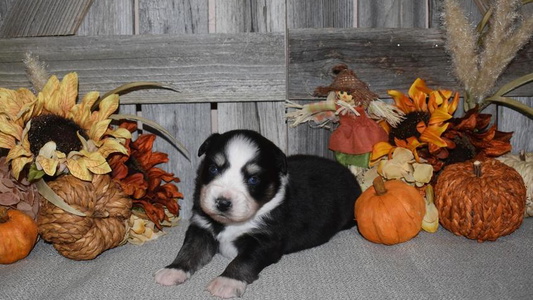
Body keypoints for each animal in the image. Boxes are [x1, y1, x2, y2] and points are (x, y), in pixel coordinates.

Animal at [154, 130, 362, 298]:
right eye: (213, 168)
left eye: (253, 179)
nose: (223, 202)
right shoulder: (201, 228)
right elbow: (189, 250)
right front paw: (172, 270)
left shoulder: (264, 241)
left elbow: (243, 261)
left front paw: (226, 282)